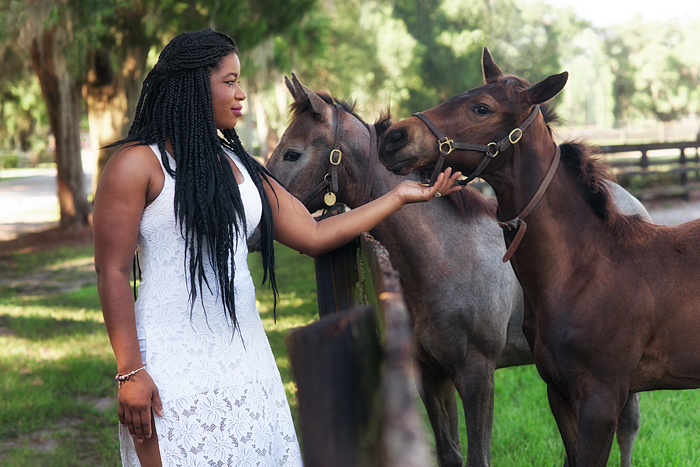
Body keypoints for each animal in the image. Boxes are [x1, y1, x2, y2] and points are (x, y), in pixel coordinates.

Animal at [266, 74, 644, 467]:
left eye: (292, 153)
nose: (269, 203)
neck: (444, 256)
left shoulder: (477, 375)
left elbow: (478, 456)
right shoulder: (432, 375)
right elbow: (450, 453)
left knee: (628, 424)